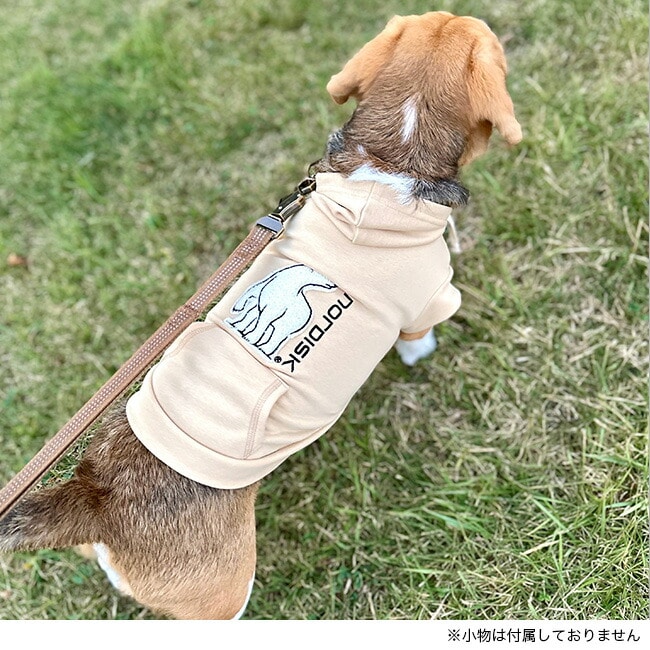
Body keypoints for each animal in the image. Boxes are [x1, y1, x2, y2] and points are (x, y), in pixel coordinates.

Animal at [0, 12, 521, 619]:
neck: (389, 158)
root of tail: (95, 494)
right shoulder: (428, 296)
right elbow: (420, 336)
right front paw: (423, 355)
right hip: (225, 593)